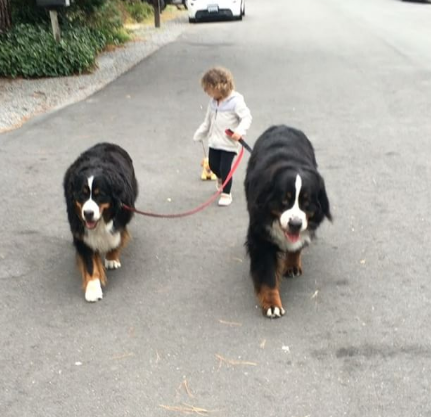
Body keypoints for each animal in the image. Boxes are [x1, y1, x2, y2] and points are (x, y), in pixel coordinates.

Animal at [63, 141, 138, 300]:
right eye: (82, 194)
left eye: (100, 195)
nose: (88, 213)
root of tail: (108, 143)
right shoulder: (80, 232)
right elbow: (90, 263)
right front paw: (92, 288)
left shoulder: (121, 217)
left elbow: (116, 239)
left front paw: (111, 258)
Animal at [245, 125, 332, 316]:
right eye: (285, 200)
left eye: (306, 202)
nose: (295, 224)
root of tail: (282, 126)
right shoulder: (261, 235)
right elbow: (267, 274)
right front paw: (272, 304)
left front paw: (291, 262)